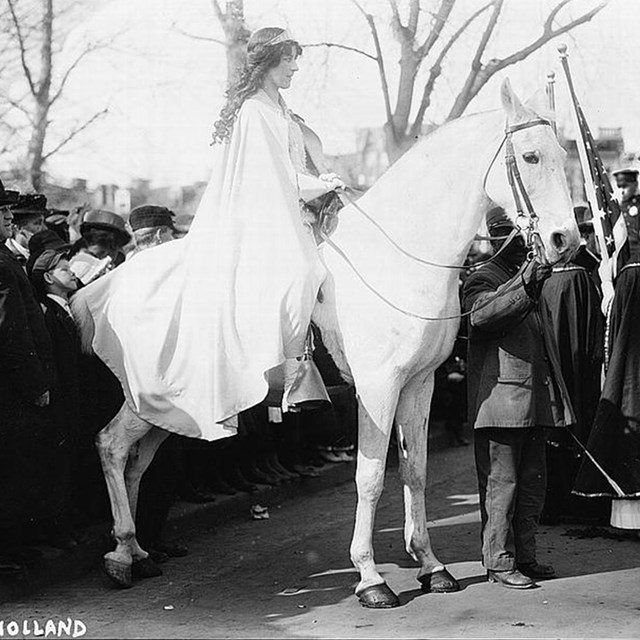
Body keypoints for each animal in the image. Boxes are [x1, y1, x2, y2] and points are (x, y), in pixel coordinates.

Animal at [71, 79, 580, 604]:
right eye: (531, 156)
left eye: (565, 154)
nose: (566, 240)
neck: (396, 260)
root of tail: (104, 286)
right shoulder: (377, 388)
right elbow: (371, 476)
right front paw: (371, 577)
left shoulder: (419, 384)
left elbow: (415, 470)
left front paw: (431, 565)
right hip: (150, 398)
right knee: (111, 446)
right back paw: (121, 554)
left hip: (169, 407)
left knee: (137, 461)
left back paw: (136, 552)